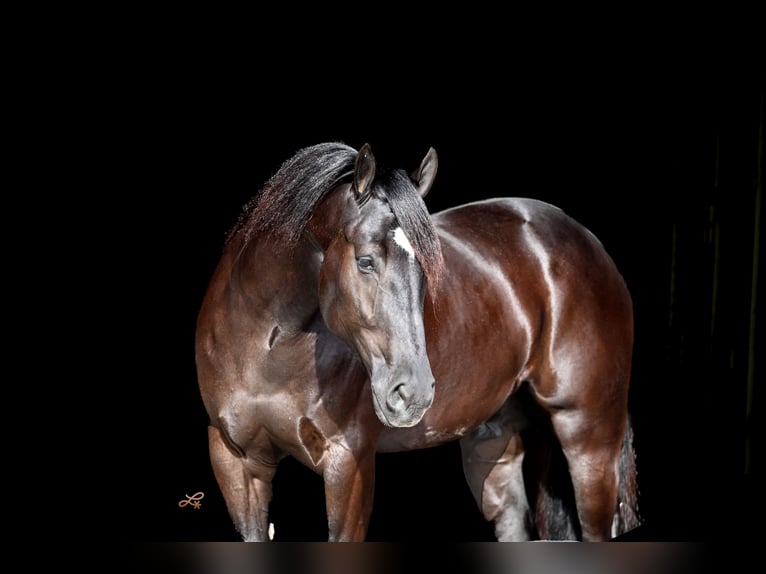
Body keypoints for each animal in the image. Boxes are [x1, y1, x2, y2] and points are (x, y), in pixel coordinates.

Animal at [195, 141, 641, 541]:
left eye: (429, 268)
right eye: (365, 261)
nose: (413, 394)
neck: (268, 348)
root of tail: (588, 244)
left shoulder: (349, 463)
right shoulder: (236, 462)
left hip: (589, 437)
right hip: (494, 442)